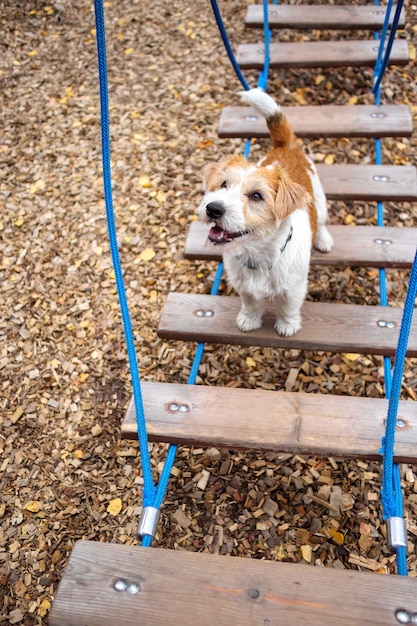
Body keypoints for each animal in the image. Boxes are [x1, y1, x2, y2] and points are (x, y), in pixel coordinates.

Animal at [197, 86, 334, 336]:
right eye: (223, 184)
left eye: (256, 196)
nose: (213, 208)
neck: (257, 256)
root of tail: (285, 147)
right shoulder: (243, 287)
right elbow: (250, 302)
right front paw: (249, 319)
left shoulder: (294, 289)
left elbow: (288, 307)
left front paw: (287, 325)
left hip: (320, 201)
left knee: (320, 221)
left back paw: (323, 238)